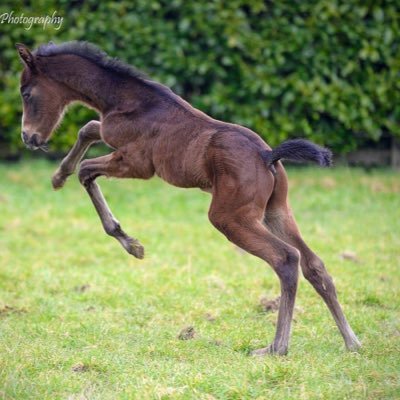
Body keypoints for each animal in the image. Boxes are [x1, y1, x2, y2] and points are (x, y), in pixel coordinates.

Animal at [15, 41, 360, 356]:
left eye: (26, 93)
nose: (28, 137)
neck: (126, 100)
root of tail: (267, 156)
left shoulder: (138, 165)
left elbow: (87, 169)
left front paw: (130, 243)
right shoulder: (114, 140)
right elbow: (88, 128)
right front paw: (58, 176)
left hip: (229, 217)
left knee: (287, 259)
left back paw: (276, 347)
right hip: (276, 211)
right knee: (314, 264)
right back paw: (351, 341)